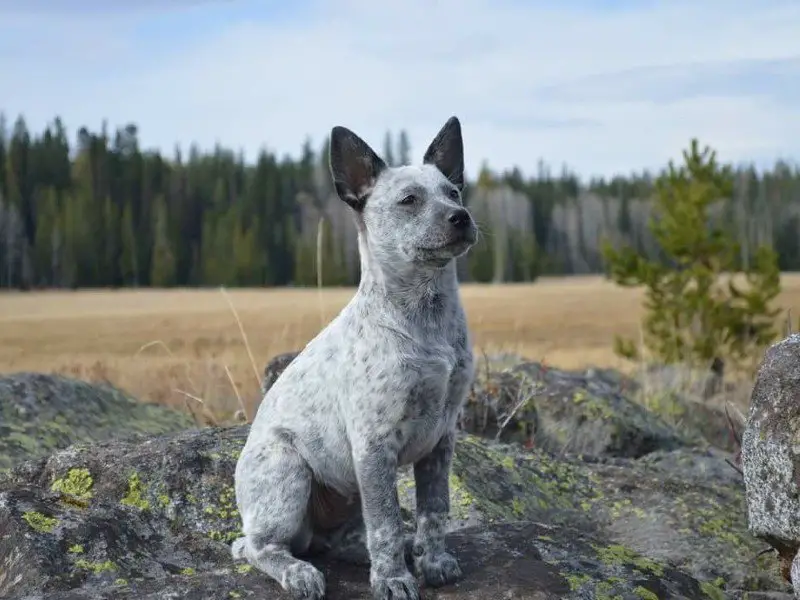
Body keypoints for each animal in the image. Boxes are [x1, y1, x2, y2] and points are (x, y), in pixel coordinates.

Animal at [234, 117, 478, 600]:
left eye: (453, 192)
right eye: (409, 200)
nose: (461, 217)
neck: (425, 318)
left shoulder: (442, 439)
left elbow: (434, 511)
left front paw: (433, 562)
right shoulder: (374, 443)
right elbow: (385, 522)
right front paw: (393, 580)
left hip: (346, 493)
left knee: (341, 540)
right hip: (288, 475)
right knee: (261, 547)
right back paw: (299, 573)